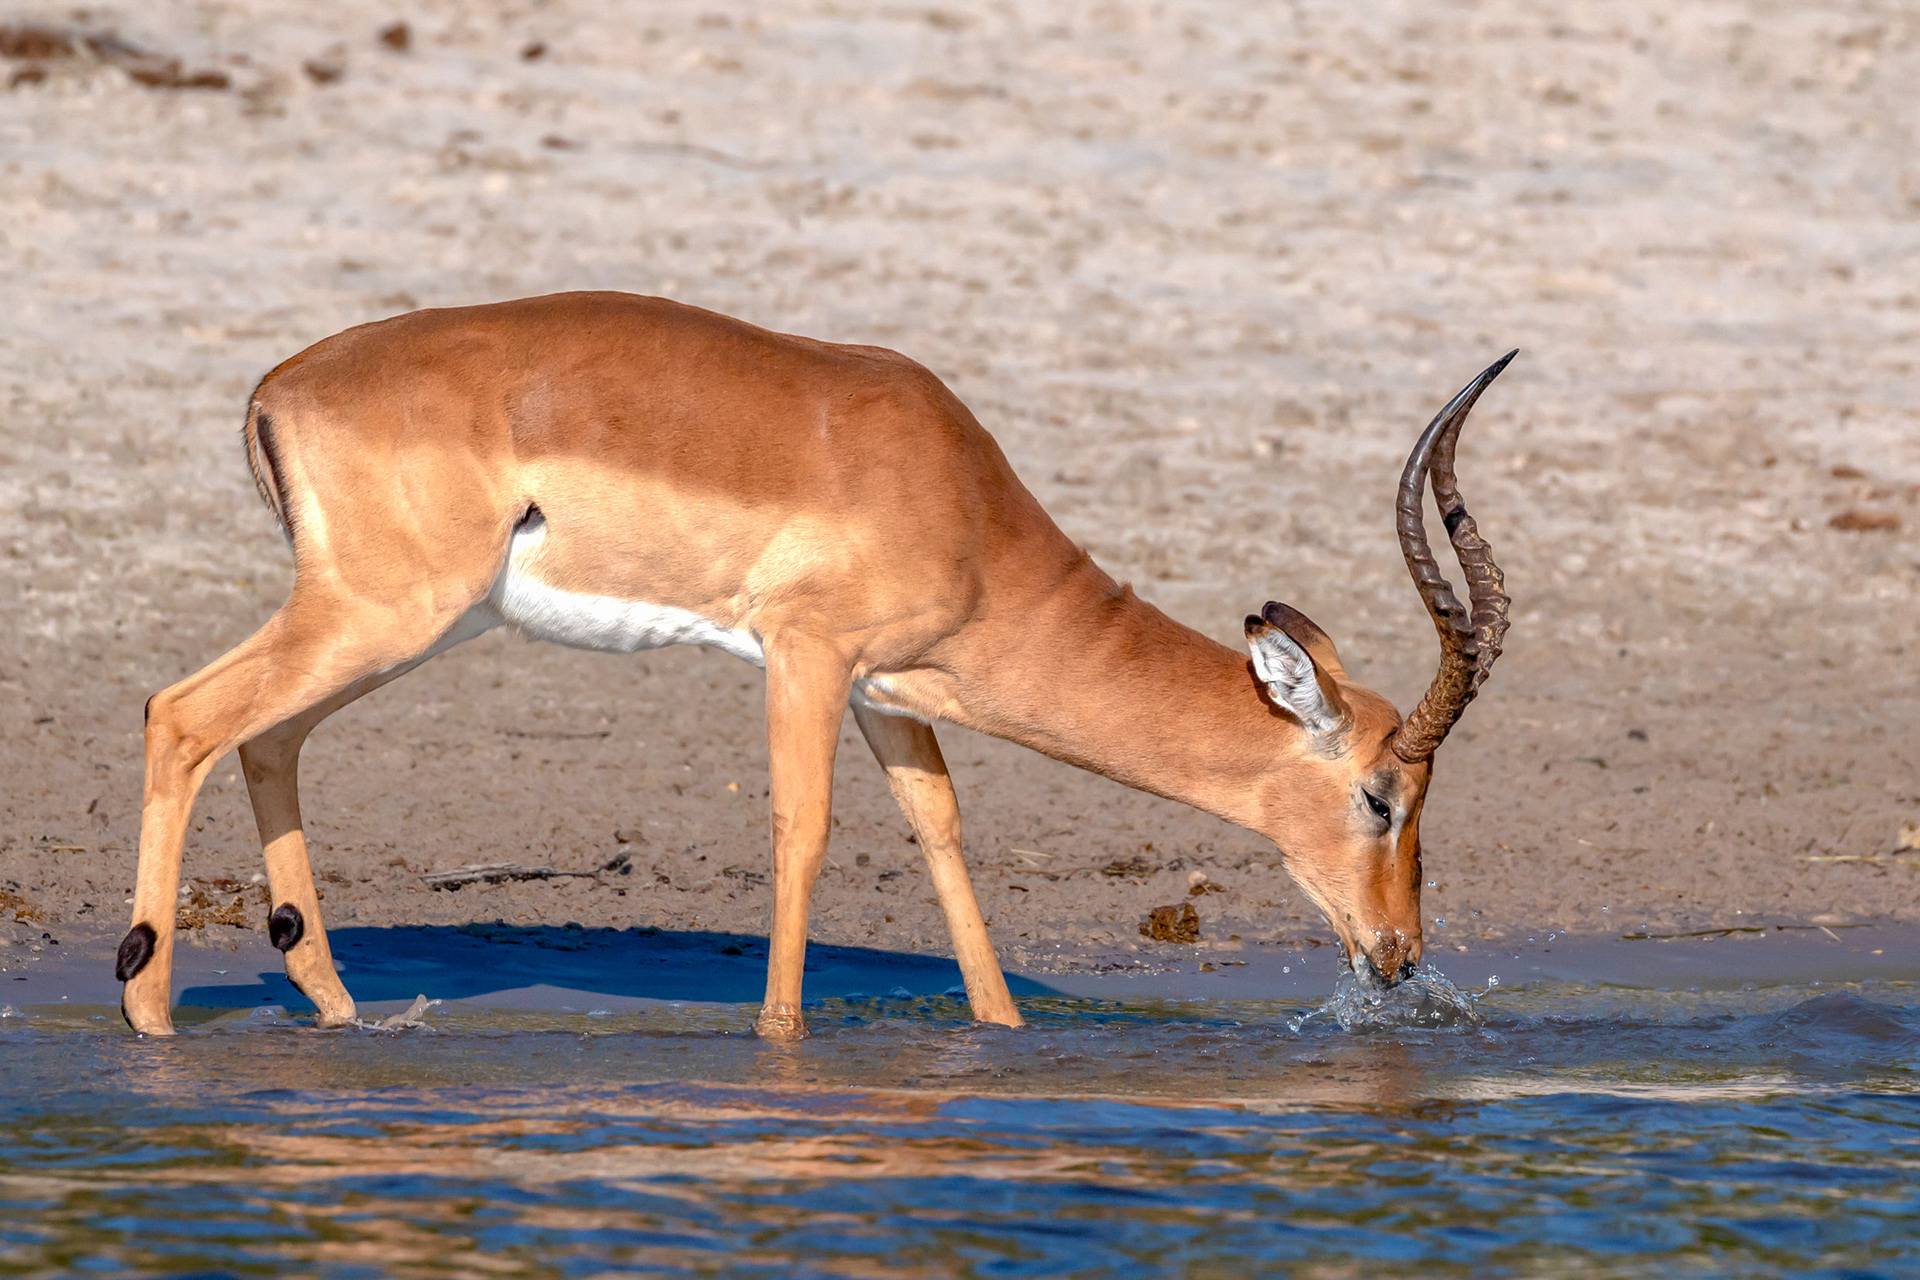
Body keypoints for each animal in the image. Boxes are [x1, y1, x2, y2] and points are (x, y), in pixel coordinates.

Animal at [116, 291, 1513, 1037]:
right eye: (1381, 795)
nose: (1398, 954)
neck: (965, 507)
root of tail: (280, 383)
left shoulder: (891, 693)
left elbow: (940, 829)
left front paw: (1002, 1031)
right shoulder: (806, 653)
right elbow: (803, 826)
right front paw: (782, 1041)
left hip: (397, 624)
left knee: (264, 733)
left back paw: (336, 1007)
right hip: (382, 612)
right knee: (182, 712)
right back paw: (148, 1009)